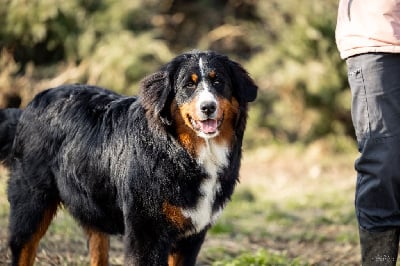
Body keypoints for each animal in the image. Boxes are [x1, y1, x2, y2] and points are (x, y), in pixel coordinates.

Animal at [0, 50, 258, 266]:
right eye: (189, 85)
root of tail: (29, 106)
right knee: (24, 248)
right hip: (32, 203)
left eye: (218, 81)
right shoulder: (147, 234)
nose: (208, 107)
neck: (178, 152)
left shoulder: (191, 237)